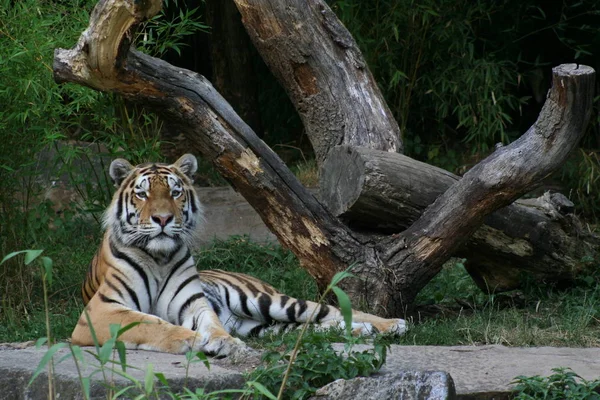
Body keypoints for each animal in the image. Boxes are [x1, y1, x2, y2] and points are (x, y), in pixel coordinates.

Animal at [72, 154, 406, 356]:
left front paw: (222, 342)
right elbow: (148, 322)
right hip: (263, 325)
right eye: (142, 194)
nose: (163, 219)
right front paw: (191, 339)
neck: (159, 257)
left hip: (267, 301)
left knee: (330, 311)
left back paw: (390, 324)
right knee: (313, 325)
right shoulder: (100, 311)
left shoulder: (193, 303)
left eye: (175, 192)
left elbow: (209, 322)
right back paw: (366, 331)